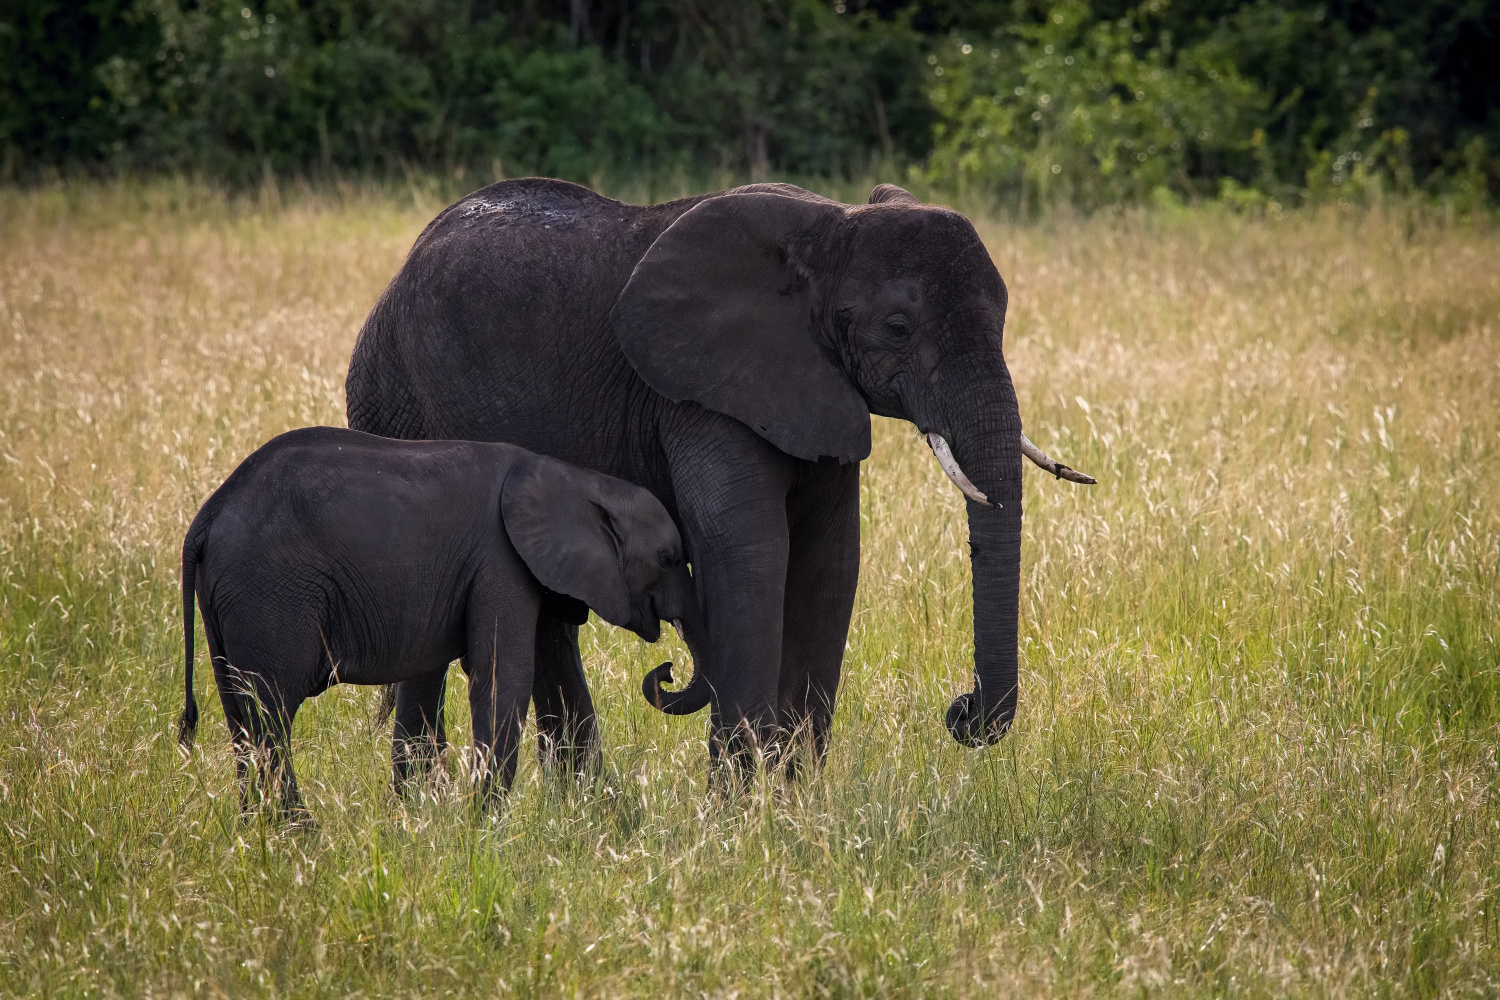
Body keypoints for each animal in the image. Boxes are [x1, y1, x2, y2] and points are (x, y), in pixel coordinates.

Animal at [177, 425, 702, 815]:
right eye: (669, 557)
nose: (666, 669)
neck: (577, 479)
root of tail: (207, 516)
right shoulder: (500, 561)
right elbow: (503, 676)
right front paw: (484, 826)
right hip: (268, 592)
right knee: (269, 712)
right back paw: (299, 834)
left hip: (229, 598)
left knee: (240, 714)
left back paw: (263, 835)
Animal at [346, 177, 1098, 773]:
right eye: (898, 326)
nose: (961, 710)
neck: (830, 227)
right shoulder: (701, 395)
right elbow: (751, 552)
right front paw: (741, 815)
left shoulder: (813, 388)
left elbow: (830, 562)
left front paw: (794, 807)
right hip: (396, 402)